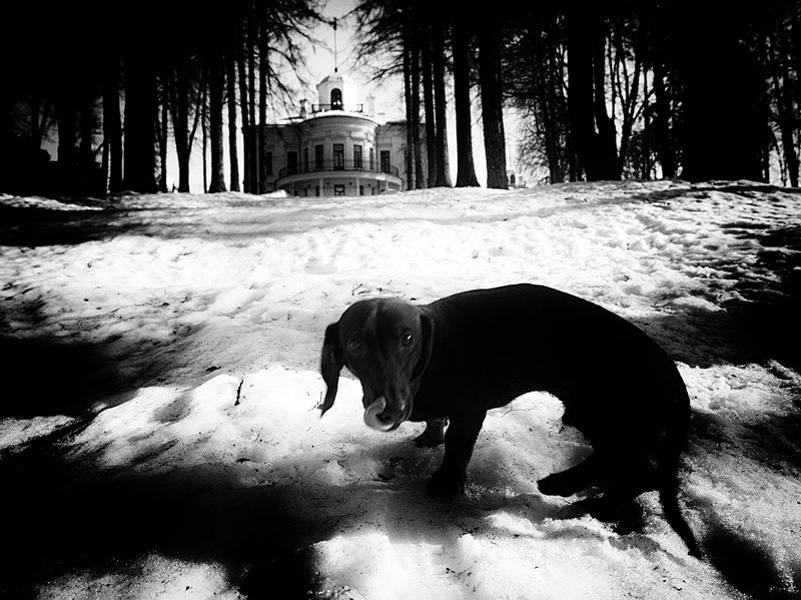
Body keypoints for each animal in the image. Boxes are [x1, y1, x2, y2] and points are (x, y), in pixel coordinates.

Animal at [318, 284, 700, 556]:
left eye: (407, 338)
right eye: (355, 344)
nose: (391, 410)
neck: (430, 360)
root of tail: (672, 374)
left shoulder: (471, 411)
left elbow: (457, 449)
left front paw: (446, 483)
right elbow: (437, 427)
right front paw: (430, 436)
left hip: (599, 413)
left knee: (633, 467)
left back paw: (566, 487)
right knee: (634, 471)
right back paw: (595, 500)